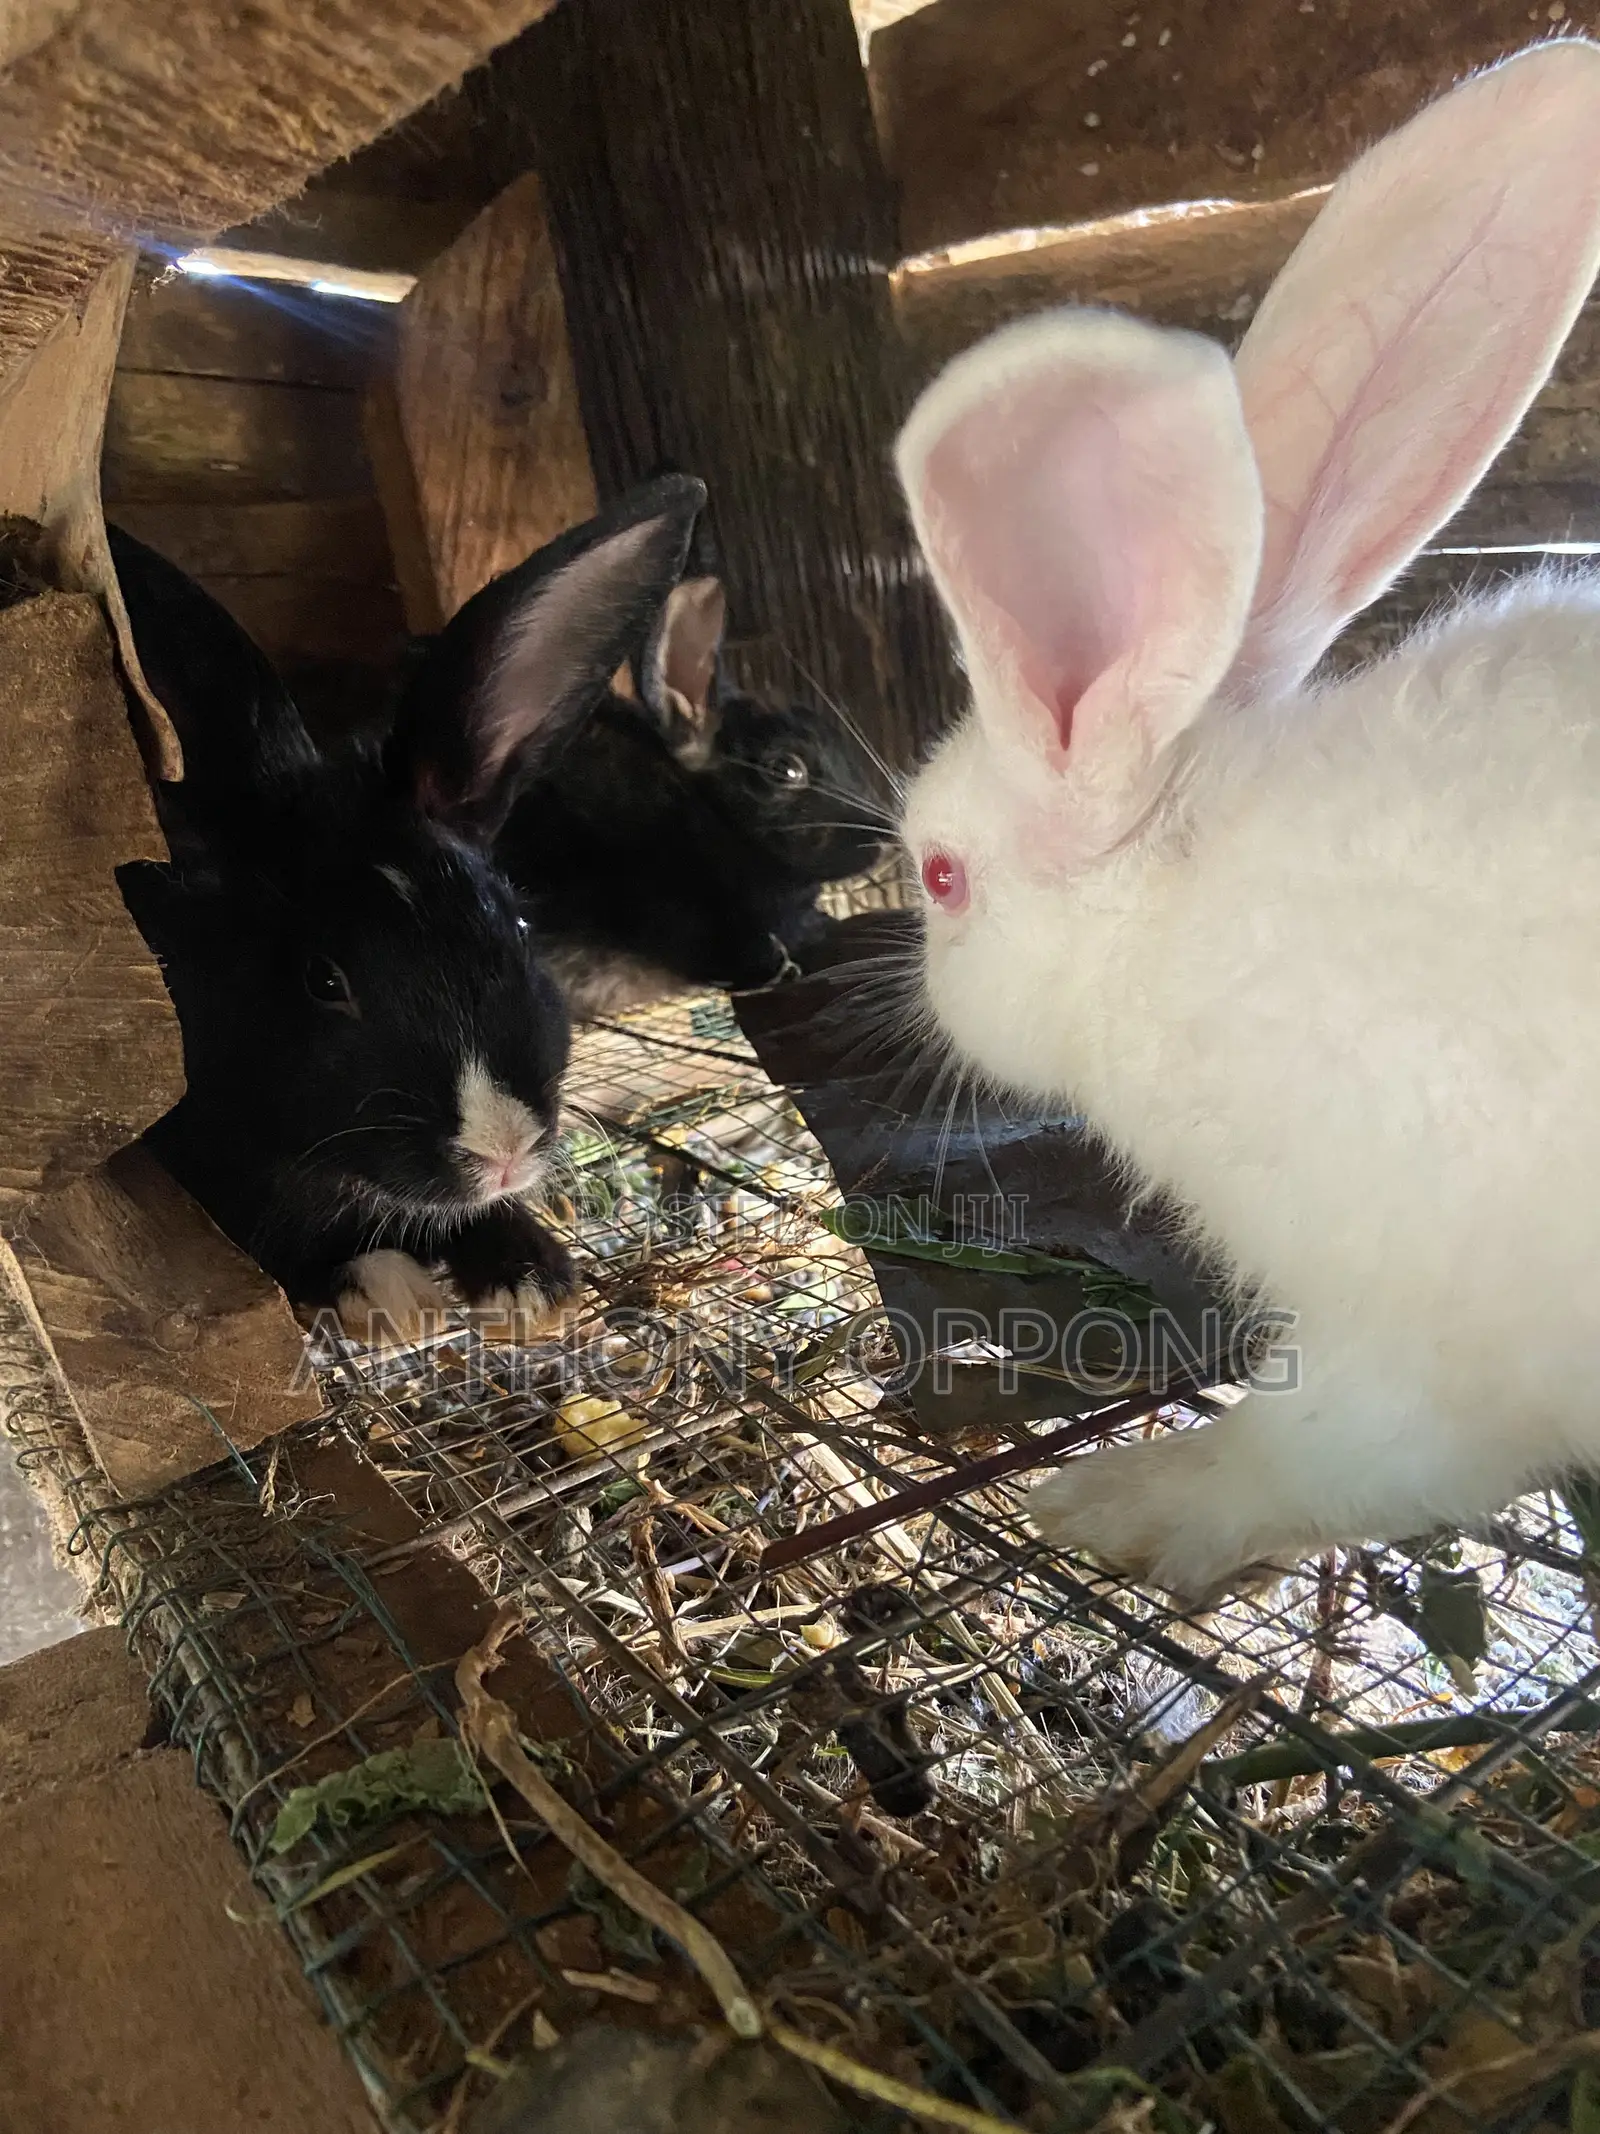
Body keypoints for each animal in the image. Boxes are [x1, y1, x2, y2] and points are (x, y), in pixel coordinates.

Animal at [890, 40, 1600, 1604]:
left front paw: (1120, 1503)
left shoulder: (1405, 1321)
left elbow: (1317, 1448)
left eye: (942, 875)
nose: (921, 996)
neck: (1173, 908)